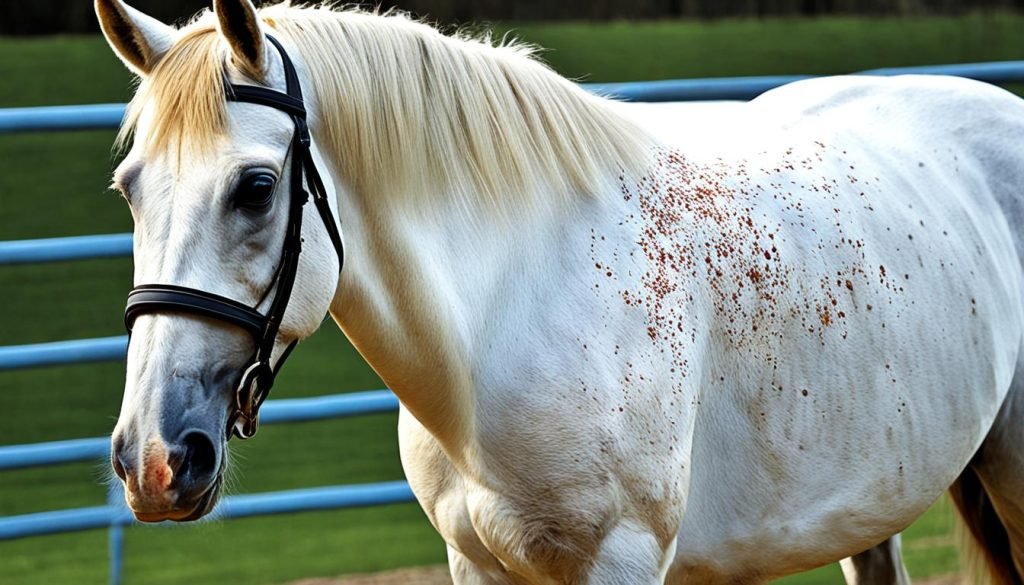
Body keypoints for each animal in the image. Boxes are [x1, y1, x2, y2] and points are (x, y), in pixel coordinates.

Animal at [95, 0, 1024, 583]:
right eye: (128, 189)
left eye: (254, 188)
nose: (154, 459)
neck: (507, 313)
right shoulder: (476, 562)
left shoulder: (621, 559)